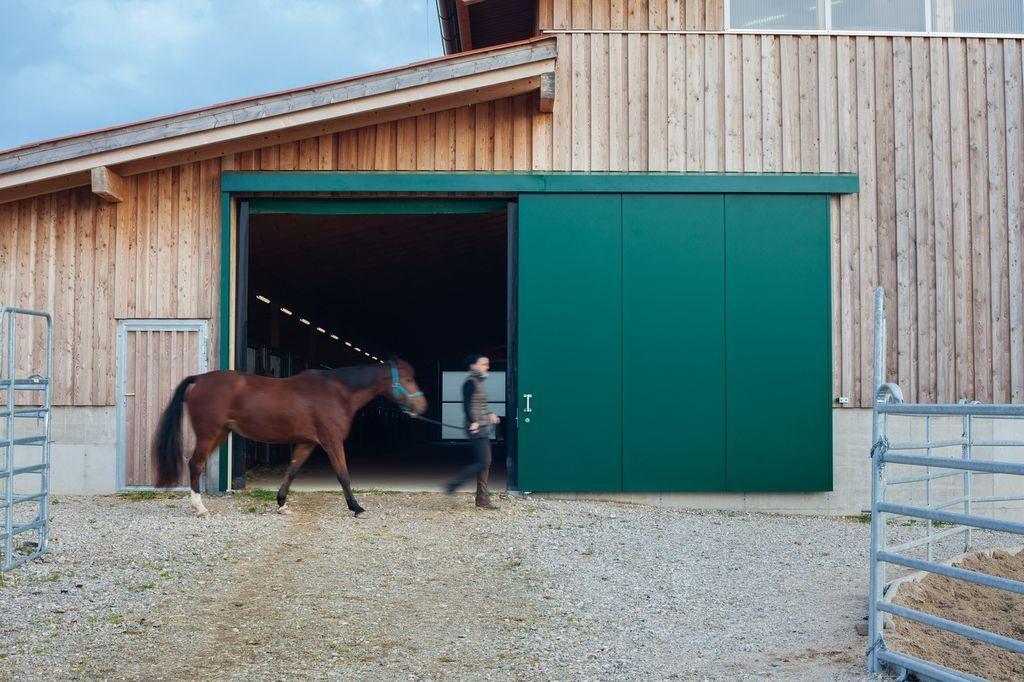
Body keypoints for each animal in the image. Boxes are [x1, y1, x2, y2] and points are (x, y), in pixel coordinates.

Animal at [149, 358, 425, 512]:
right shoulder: (332, 442)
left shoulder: (307, 443)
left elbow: (291, 471)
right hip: (209, 433)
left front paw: (281, 503)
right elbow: (343, 475)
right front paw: (356, 507)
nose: (422, 407)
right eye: (408, 379)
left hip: (220, 433)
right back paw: (200, 508)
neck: (337, 393)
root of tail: (199, 379)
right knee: (195, 464)